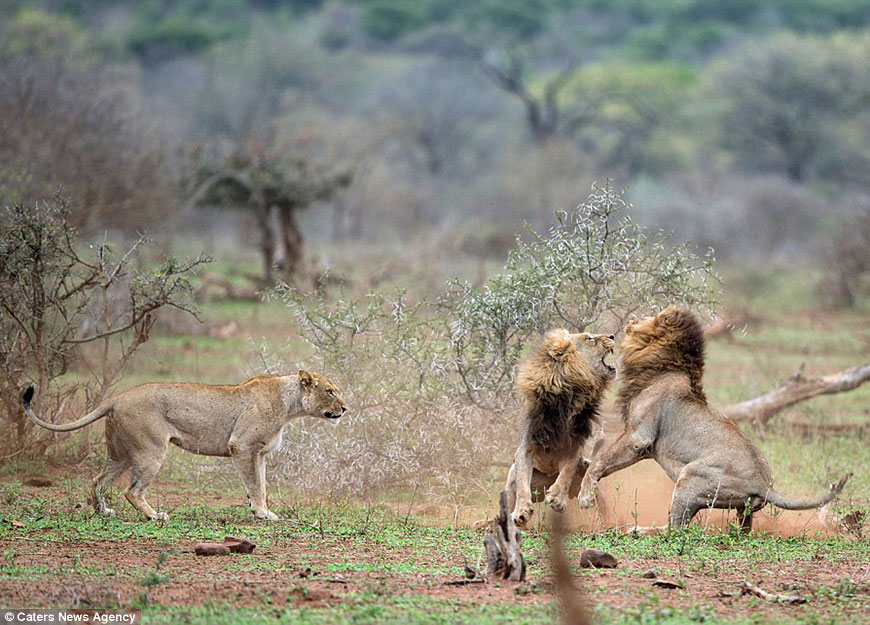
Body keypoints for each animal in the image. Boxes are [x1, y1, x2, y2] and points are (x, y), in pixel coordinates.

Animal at [508, 332, 616, 528]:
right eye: (589, 338)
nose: (612, 335)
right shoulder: (527, 445)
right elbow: (522, 483)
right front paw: (521, 511)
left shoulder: (574, 445)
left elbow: (566, 472)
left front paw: (557, 499)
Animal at [580, 304, 852, 528]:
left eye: (649, 317)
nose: (630, 321)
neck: (665, 363)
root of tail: (763, 484)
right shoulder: (645, 448)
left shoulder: (639, 436)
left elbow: (599, 461)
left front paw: (585, 496)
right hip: (741, 510)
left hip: (689, 477)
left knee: (676, 530)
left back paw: (637, 530)